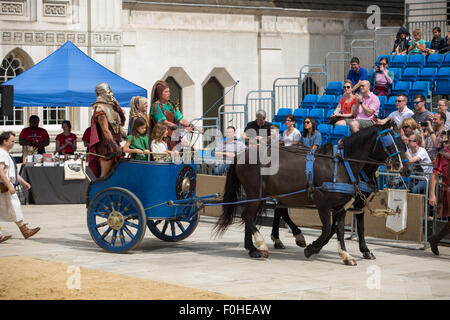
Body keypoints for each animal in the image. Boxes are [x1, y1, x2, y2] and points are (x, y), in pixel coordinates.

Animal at [214, 122, 412, 264]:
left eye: (404, 143)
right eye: (390, 142)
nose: (406, 168)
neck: (341, 165)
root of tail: (242, 154)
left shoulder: (344, 206)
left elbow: (340, 229)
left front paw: (346, 254)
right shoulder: (324, 204)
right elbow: (327, 229)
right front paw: (312, 248)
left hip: (267, 194)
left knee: (259, 215)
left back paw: (254, 247)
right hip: (255, 193)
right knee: (248, 216)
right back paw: (262, 245)